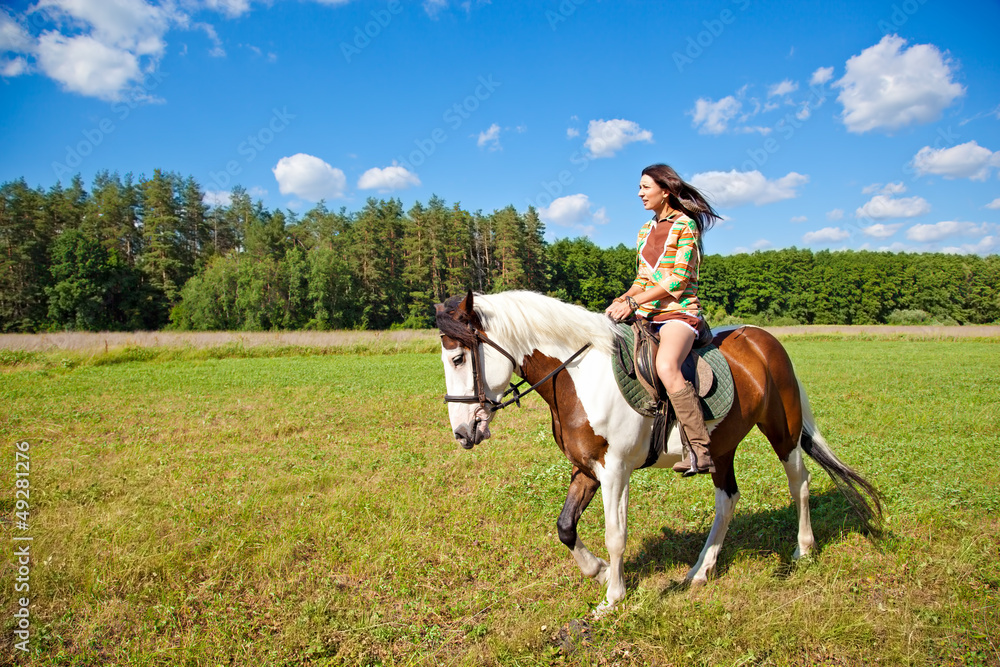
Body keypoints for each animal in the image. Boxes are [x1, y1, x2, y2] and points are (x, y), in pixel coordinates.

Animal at [438, 290, 884, 616]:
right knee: (728, 499)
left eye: (458, 357)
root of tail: (764, 339)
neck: (578, 376)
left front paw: (612, 598)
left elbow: (616, 535)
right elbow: (565, 527)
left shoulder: (615, 471)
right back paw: (700, 571)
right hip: (720, 447)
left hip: (782, 430)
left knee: (799, 483)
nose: (462, 433)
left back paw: (803, 550)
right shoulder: (586, 468)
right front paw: (599, 572)